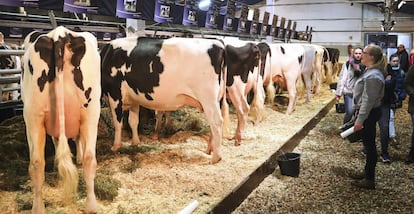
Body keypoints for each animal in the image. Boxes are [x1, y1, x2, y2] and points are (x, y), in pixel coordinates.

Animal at [21, 25, 100, 213]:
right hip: (91, 113)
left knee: (37, 161)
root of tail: (60, 33)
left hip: (33, 116)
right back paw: (90, 206)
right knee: (88, 158)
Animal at [101, 36, 226, 164]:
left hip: (208, 98)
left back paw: (216, 157)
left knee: (216, 122)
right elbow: (133, 121)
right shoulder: (134, 98)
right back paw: (209, 150)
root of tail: (218, 44)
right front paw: (135, 143)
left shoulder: (114, 94)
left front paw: (115, 146)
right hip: (217, 99)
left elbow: (118, 123)